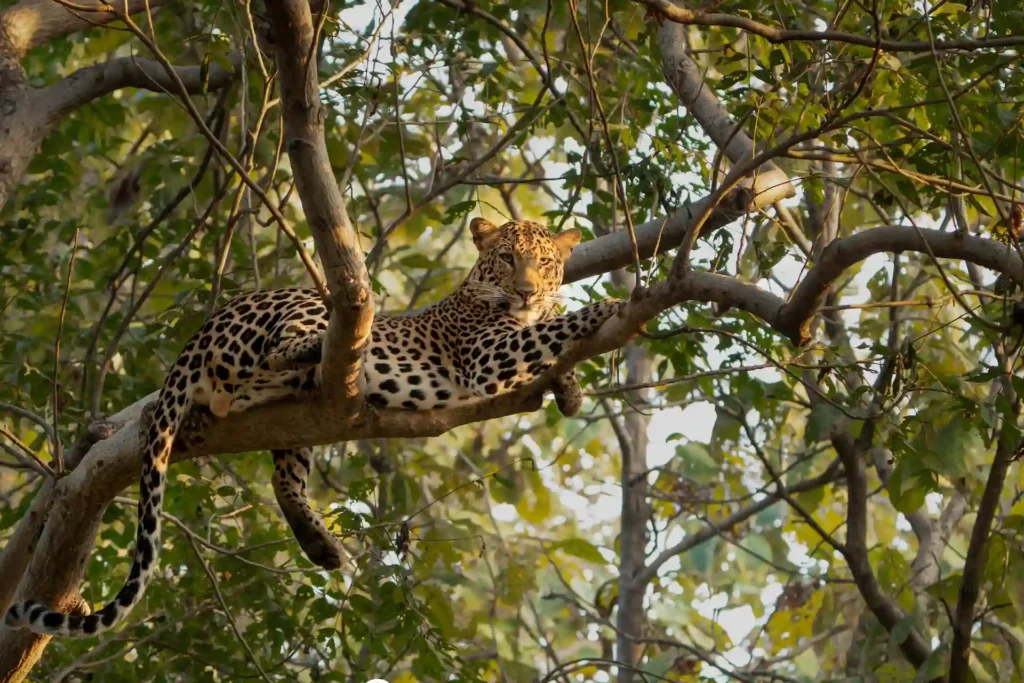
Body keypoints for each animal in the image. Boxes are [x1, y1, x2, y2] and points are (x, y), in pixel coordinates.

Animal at [4, 216, 618, 638]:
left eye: (544, 263)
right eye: (508, 259)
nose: (527, 291)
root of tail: (196, 337)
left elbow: (549, 346)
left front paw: (570, 389)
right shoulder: (485, 355)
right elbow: (550, 332)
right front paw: (606, 308)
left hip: (294, 421)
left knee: (284, 474)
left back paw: (320, 545)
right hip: (304, 304)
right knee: (286, 350)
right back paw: (344, 351)